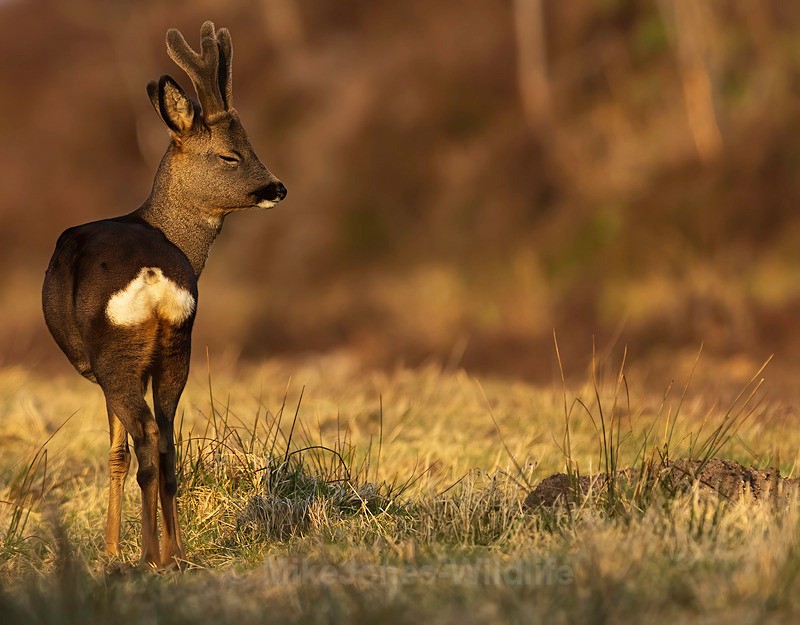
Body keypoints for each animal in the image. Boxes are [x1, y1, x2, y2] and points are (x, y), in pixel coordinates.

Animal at [41, 21, 286, 569]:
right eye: (231, 154)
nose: (278, 188)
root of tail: (153, 277)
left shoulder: (100, 370)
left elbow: (114, 453)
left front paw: (110, 551)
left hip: (116, 354)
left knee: (147, 437)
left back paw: (149, 555)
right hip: (178, 347)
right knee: (169, 437)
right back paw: (174, 552)